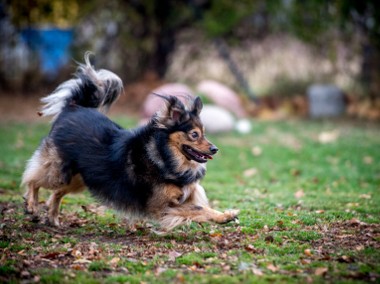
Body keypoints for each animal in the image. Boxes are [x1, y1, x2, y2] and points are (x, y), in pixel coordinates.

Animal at [21, 53, 238, 231]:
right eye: (194, 135)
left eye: (204, 133)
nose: (215, 149)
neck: (163, 156)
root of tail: (74, 107)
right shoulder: (161, 205)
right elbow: (198, 209)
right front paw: (224, 216)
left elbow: (201, 206)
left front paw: (224, 215)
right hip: (60, 171)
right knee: (34, 179)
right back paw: (31, 205)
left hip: (79, 178)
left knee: (56, 193)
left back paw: (52, 217)